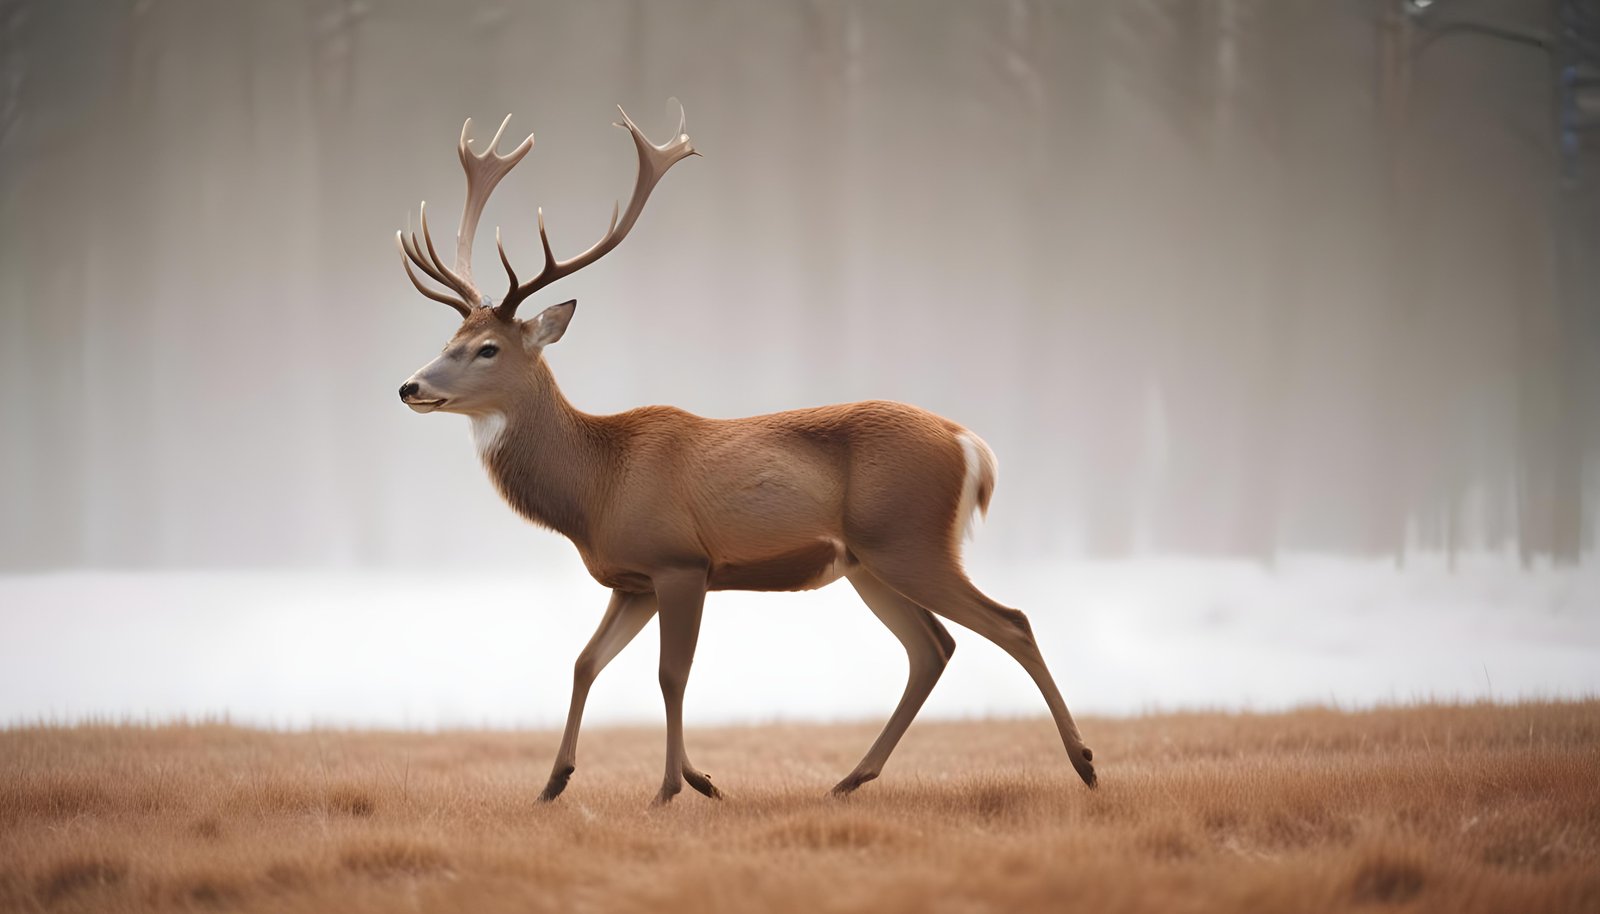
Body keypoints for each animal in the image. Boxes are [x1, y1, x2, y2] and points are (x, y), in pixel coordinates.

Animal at [394, 102, 1096, 805]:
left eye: (488, 348)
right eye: (449, 338)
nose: (410, 387)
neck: (596, 487)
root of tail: (969, 444)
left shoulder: (680, 560)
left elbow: (670, 675)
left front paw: (670, 789)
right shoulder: (632, 579)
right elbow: (585, 661)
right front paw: (563, 783)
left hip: (910, 539)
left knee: (1010, 621)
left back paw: (1085, 763)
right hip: (869, 560)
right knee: (932, 648)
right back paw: (850, 778)